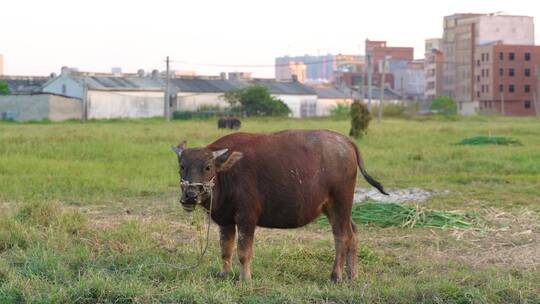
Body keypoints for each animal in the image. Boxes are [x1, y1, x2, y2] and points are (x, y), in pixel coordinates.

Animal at [171, 129, 386, 282]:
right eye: (182, 166)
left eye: (207, 167)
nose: (190, 196)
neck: (226, 173)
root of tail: (347, 142)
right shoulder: (225, 220)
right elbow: (225, 249)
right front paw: (224, 275)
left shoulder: (246, 218)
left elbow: (243, 251)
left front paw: (244, 278)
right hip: (334, 208)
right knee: (353, 232)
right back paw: (352, 274)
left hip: (340, 202)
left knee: (342, 236)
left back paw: (336, 276)